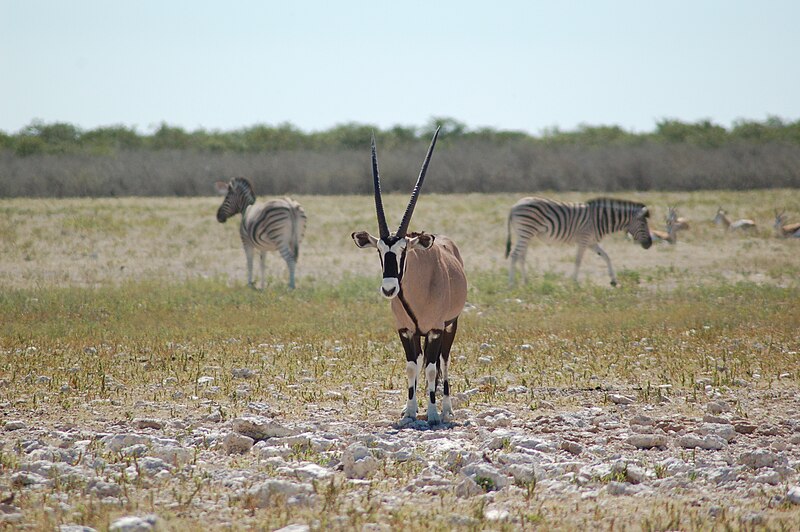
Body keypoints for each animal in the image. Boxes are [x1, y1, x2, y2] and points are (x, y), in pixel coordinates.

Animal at [352, 128, 468, 424]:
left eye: (404, 249)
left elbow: (431, 369)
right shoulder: (406, 330)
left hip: (451, 326)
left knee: (443, 362)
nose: (389, 289)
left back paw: (447, 408)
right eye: (380, 250)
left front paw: (433, 414)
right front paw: (410, 411)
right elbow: (411, 367)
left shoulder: (437, 330)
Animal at [510, 196, 652, 286]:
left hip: (524, 234)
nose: (650, 244)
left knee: (521, 256)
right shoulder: (584, 240)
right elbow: (578, 261)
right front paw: (574, 283)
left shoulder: (591, 242)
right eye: (643, 224)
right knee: (514, 255)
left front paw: (613, 281)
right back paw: (511, 285)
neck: (600, 219)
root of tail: (514, 206)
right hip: (526, 231)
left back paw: (526, 282)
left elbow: (606, 256)